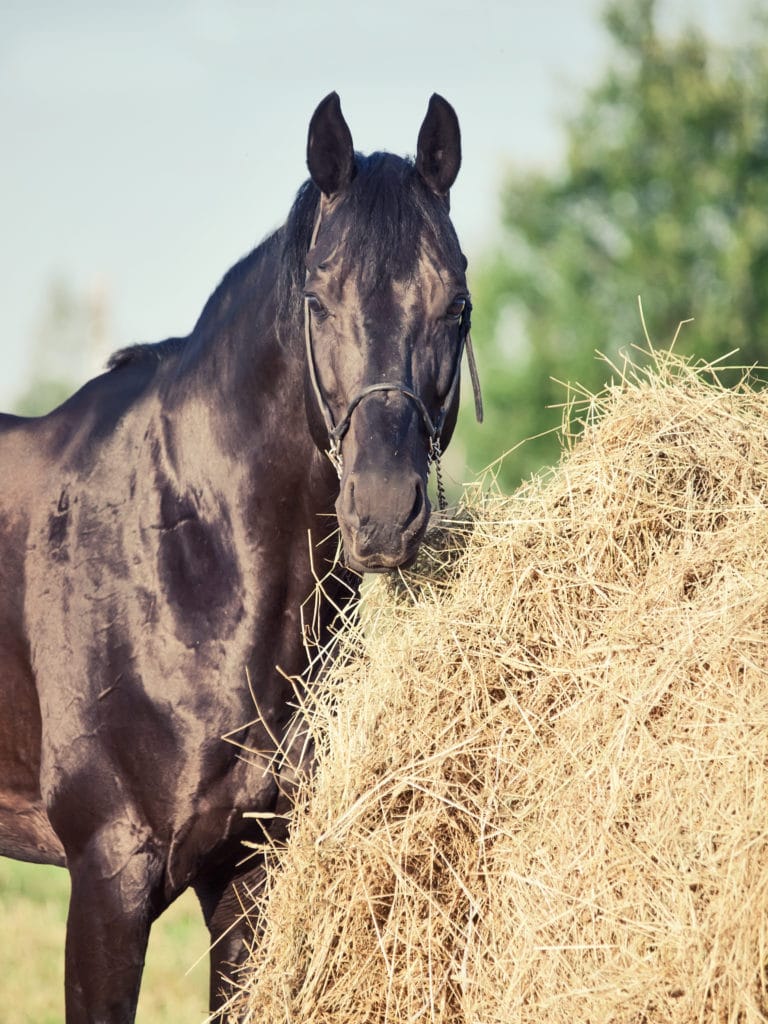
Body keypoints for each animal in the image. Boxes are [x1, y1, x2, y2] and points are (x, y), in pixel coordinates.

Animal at [0, 91, 481, 1022]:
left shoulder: (247, 874)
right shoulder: (108, 877)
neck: (184, 562)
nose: (382, 513)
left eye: (456, 303)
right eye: (318, 298)